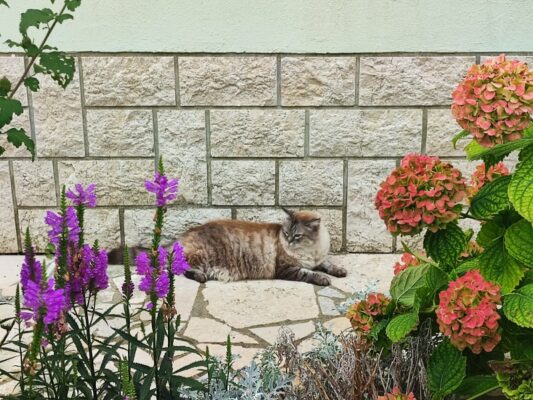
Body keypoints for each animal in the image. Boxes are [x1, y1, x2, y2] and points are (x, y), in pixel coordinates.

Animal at [179, 208, 344, 286]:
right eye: (286, 233)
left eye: (297, 236)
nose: (289, 241)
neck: (311, 249)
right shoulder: (287, 269)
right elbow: (309, 273)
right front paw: (323, 278)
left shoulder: (318, 260)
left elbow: (328, 264)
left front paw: (340, 271)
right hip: (204, 255)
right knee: (184, 269)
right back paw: (201, 276)